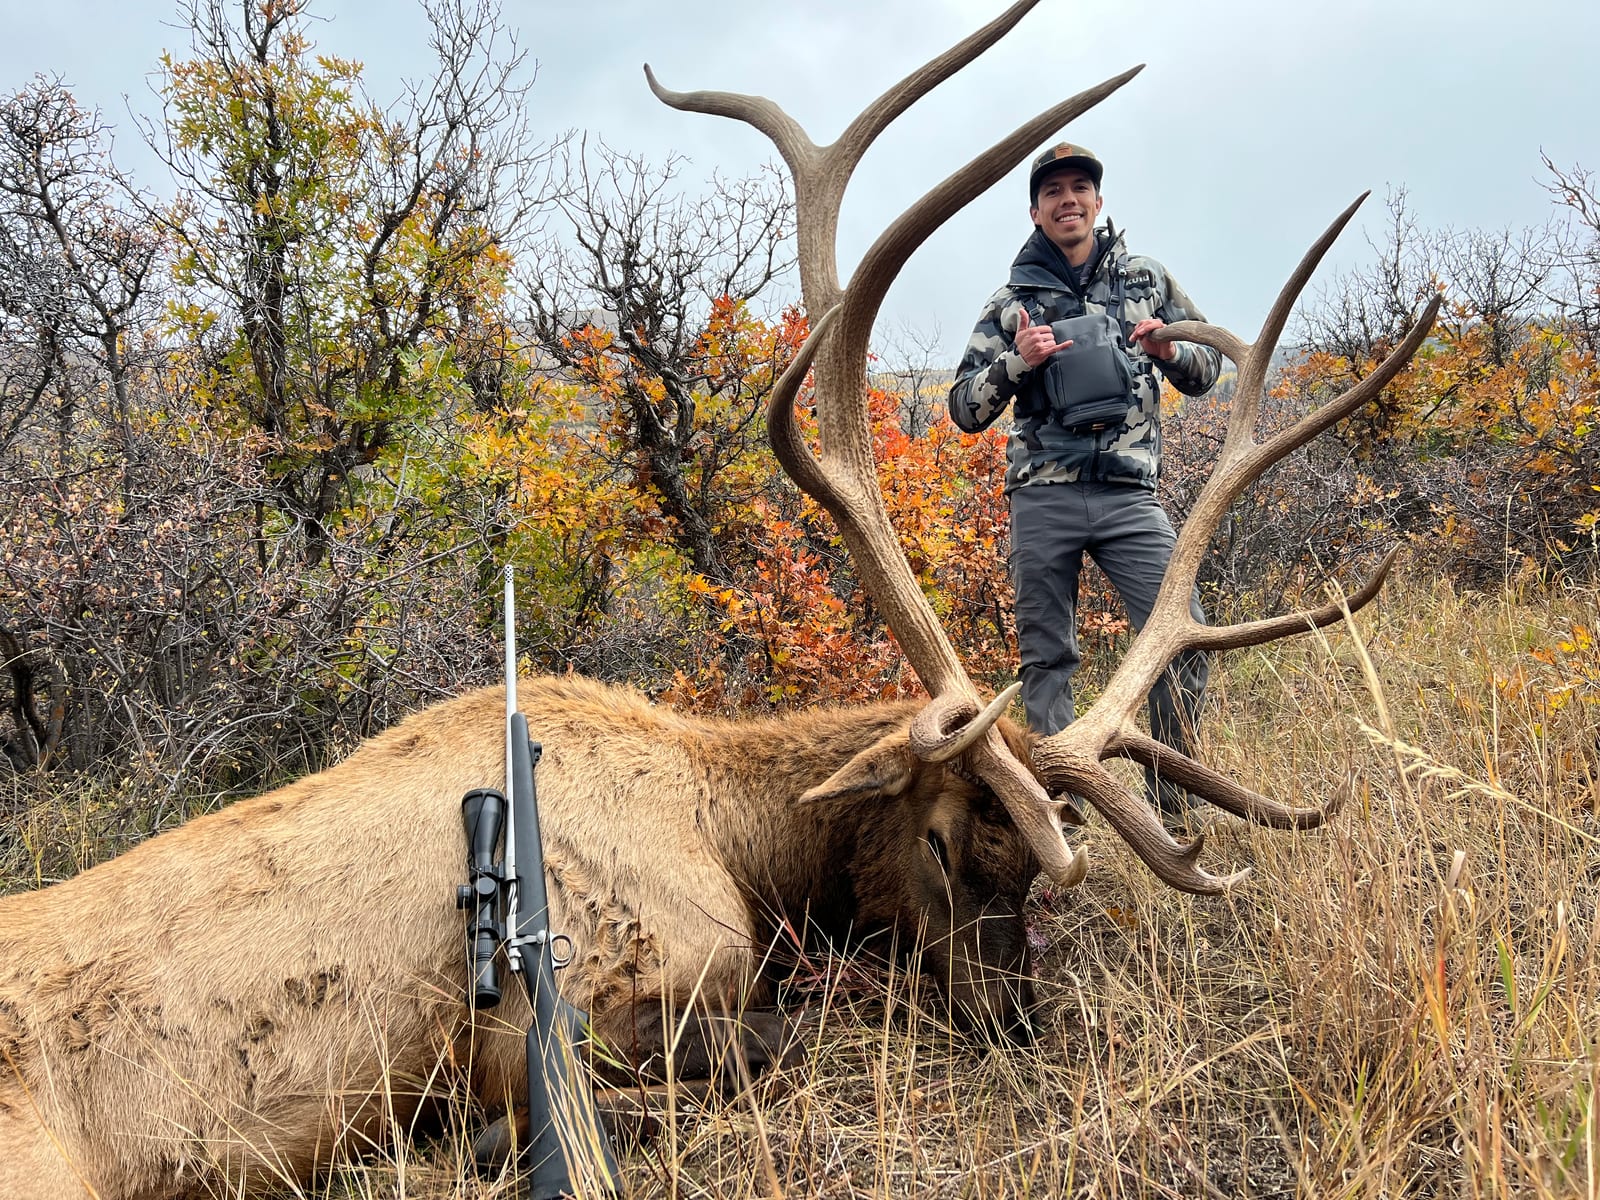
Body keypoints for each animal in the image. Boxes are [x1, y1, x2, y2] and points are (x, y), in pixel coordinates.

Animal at [0, 2, 1438, 1197]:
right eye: (937, 842)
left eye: (1031, 875)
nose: (1015, 1023)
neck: (734, 828)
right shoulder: (594, 1002)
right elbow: (773, 1037)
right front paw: (484, 1138)